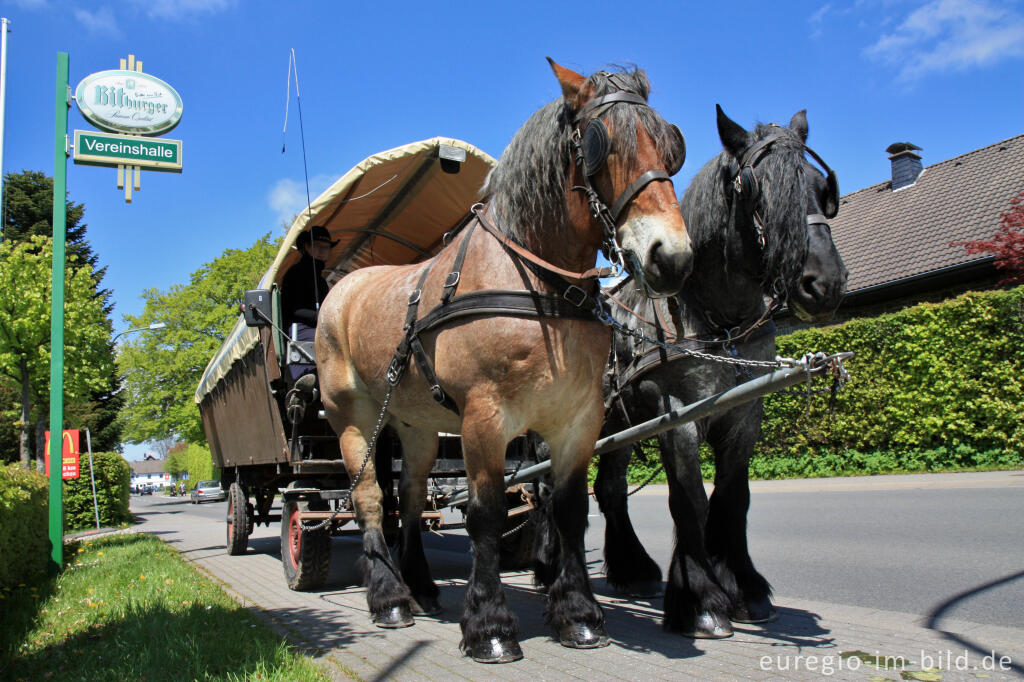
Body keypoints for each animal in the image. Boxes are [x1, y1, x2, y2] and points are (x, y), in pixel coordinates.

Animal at [315, 61, 692, 659]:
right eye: (601, 145)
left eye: (670, 145)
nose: (672, 258)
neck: (538, 285)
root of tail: (341, 288)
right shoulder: (484, 418)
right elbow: (485, 516)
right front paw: (489, 625)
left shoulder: (577, 420)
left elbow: (569, 511)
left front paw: (578, 614)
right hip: (351, 418)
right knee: (370, 498)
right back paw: (389, 598)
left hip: (416, 426)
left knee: (410, 497)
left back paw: (419, 586)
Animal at [536, 103, 847, 634]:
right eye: (757, 189)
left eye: (819, 187)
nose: (824, 284)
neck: (716, 318)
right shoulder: (676, 412)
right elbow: (689, 500)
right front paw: (701, 599)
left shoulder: (743, 415)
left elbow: (732, 498)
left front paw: (745, 587)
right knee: (539, 487)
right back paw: (548, 564)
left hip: (616, 426)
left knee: (609, 488)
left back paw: (632, 568)